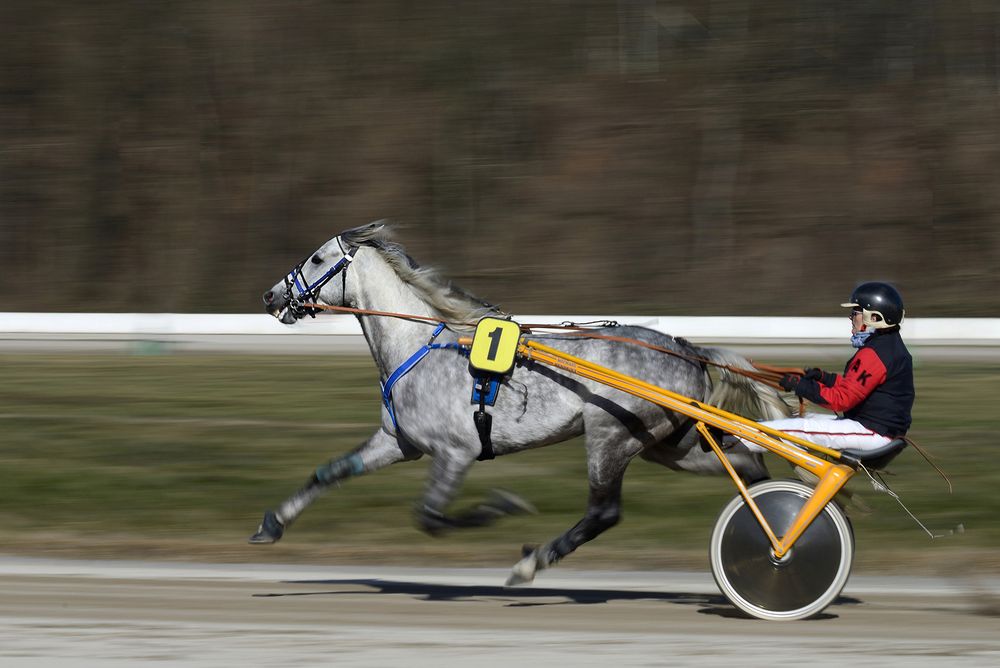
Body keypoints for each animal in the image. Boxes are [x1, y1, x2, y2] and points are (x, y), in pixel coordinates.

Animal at [252, 220, 788, 584]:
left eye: (317, 258)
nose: (272, 296)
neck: (417, 347)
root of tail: (687, 348)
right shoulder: (398, 442)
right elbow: (330, 472)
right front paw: (271, 524)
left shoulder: (455, 452)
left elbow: (431, 517)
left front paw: (502, 506)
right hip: (669, 444)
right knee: (747, 468)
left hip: (609, 437)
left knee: (604, 513)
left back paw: (530, 563)